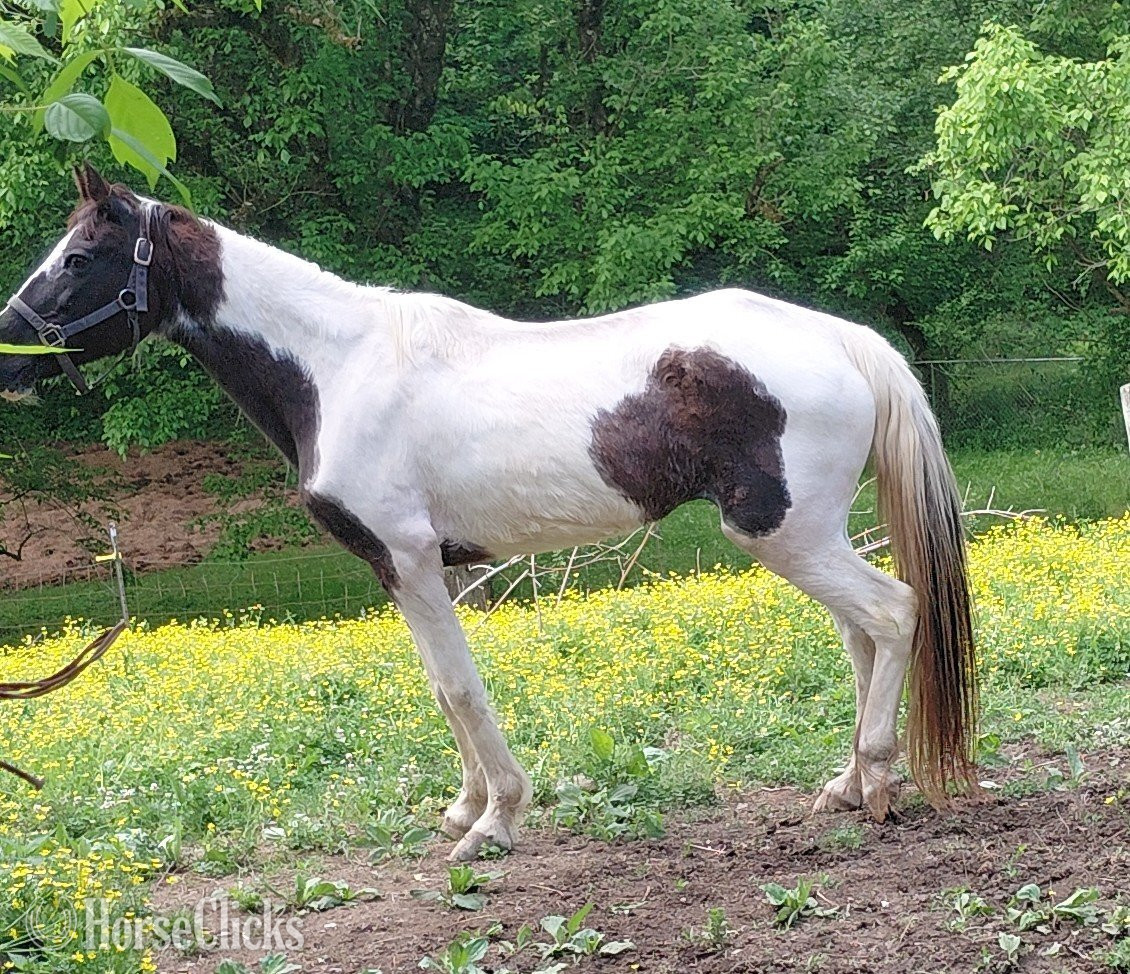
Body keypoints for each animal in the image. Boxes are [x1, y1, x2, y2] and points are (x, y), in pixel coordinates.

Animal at [0, 164, 977, 860]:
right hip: (808, 535)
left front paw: (495, 822)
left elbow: (462, 690)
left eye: (78, 258)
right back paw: (845, 784)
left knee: (894, 613)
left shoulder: (411, 559)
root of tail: (843, 338)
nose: (8, 351)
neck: (338, 367)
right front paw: (464, 806)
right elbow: (442, 690)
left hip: (784, 533)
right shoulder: (395, 570)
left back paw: (878, 784)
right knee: (862, 634)